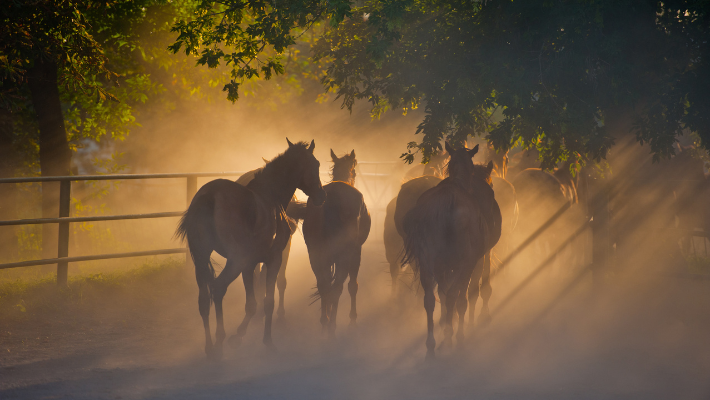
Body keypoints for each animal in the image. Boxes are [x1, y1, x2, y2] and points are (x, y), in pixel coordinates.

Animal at [177, 139, 326, 358]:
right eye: (315, 164)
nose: (321, 196)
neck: (270, 198)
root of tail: (210, 196)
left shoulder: (250, 265)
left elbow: (252, 304)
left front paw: (238, 337)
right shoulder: (272, 260)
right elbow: (267, 301)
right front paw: (266, 341)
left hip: (202, 259)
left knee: (204, 300)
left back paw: (210, 347)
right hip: (235, 261)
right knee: (218, 288)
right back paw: (219, 343)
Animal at [302, 150, 372, 334]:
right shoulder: (356, 252)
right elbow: (352, 285)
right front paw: (352, 319)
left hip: (315, 254)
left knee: (323, 285)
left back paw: (325, 321)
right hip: (344, 254)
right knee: (337, 287)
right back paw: (332, 325)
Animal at [404, 143, 504, 360]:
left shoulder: (442, 267)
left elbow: (443, 294)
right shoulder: (474, 261)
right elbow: (464, 296)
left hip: (427, 263)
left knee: (430, 299)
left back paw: (432, 346)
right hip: (464, 264)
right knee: (455, 297)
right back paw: (454, 339)